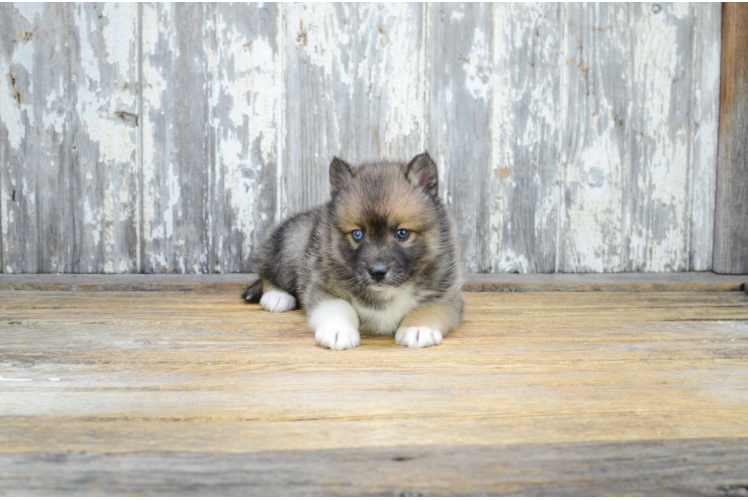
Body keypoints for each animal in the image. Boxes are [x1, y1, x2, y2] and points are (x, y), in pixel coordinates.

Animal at [245, 150, 464, 350]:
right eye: (357, 234)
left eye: (402, 233)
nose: (377, 273)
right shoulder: (322, 286)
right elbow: (339, 306)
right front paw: (338, 330)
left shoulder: (447, 293)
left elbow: (430, 307)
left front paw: (418, 328)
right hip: (292, 242)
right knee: (268, 269)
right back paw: (277, 297)